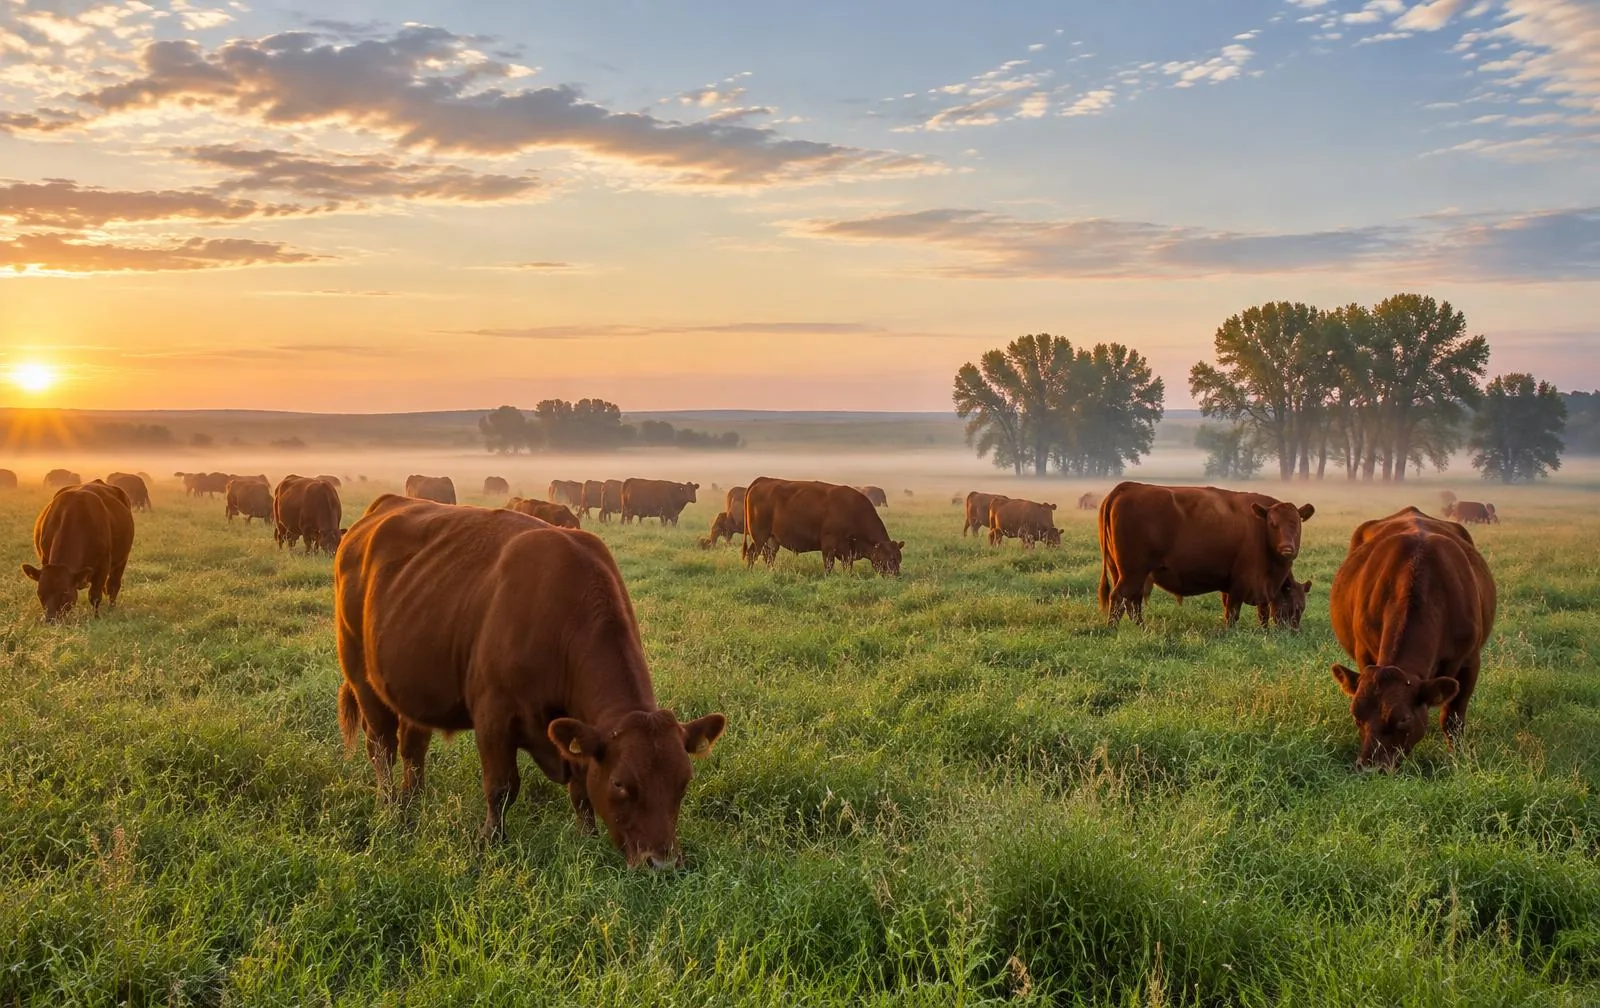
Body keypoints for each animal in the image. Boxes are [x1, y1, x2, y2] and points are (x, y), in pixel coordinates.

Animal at [23, 479, 134, 620]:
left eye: (65, 593)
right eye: (40, 594)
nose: (51, 619)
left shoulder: (103, 566)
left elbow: (95, 595)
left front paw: (96, 617)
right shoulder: (45, 560)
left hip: (122, 560)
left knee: (113, 586)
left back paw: (111, 608)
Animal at [333, 495, 727, 863]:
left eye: (683, 782)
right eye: (620, 783)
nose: (662, 861)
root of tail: (383, 507)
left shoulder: (575, 731)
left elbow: (581, 790)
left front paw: (588, 838)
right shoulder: (493, 717)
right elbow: (501, 786)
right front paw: (491, 841)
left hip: (414, 687)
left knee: (413, 748)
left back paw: (412, 801)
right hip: (361, 677)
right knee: (381, 746)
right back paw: (389, 806)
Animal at [743, 477, 903, 576]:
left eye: (899, 558)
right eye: (891, 559)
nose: (896, 576)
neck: (854, 511)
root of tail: (763, 480)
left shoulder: (847, 550)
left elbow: (847, 566)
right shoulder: (829, 545)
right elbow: (828, 565)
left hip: (771, 540)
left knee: (769, 557)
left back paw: (772, 572)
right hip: (759, 537)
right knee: (752, 554)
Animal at [1098, 481, 1315, 628]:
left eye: (1296, 523)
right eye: (1273, 523)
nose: (1287, 548)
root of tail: (1128, 486)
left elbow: (1259, 611)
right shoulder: (1242, 583)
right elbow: (1234, 612)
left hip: (1125, 573)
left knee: (1132, 602)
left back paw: (1142, 628)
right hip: (1132, 573)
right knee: (1119, 598)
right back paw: (1114, 630)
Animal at [1330, 507, 1496, 770]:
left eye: (1404, 719)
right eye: (1356, 716)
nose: (1370, 767)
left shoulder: (1470, 661)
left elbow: (1454, 718)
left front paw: (1458, 758)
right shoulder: (1364, 653)